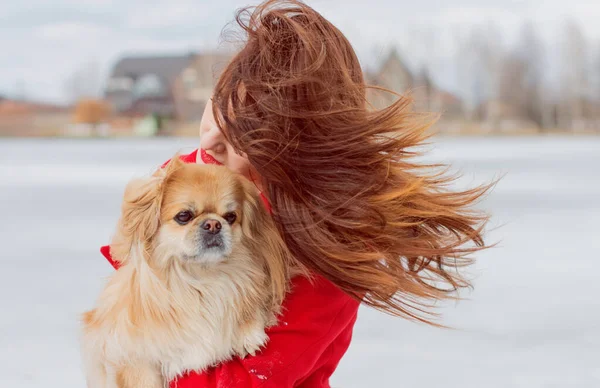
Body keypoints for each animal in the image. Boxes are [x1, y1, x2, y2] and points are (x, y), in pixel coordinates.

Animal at [81, 156, 292, 386]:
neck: (200, 279)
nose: (213, 224)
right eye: (184, 216)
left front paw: (248, 333)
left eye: (230, 216)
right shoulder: (131, 357)